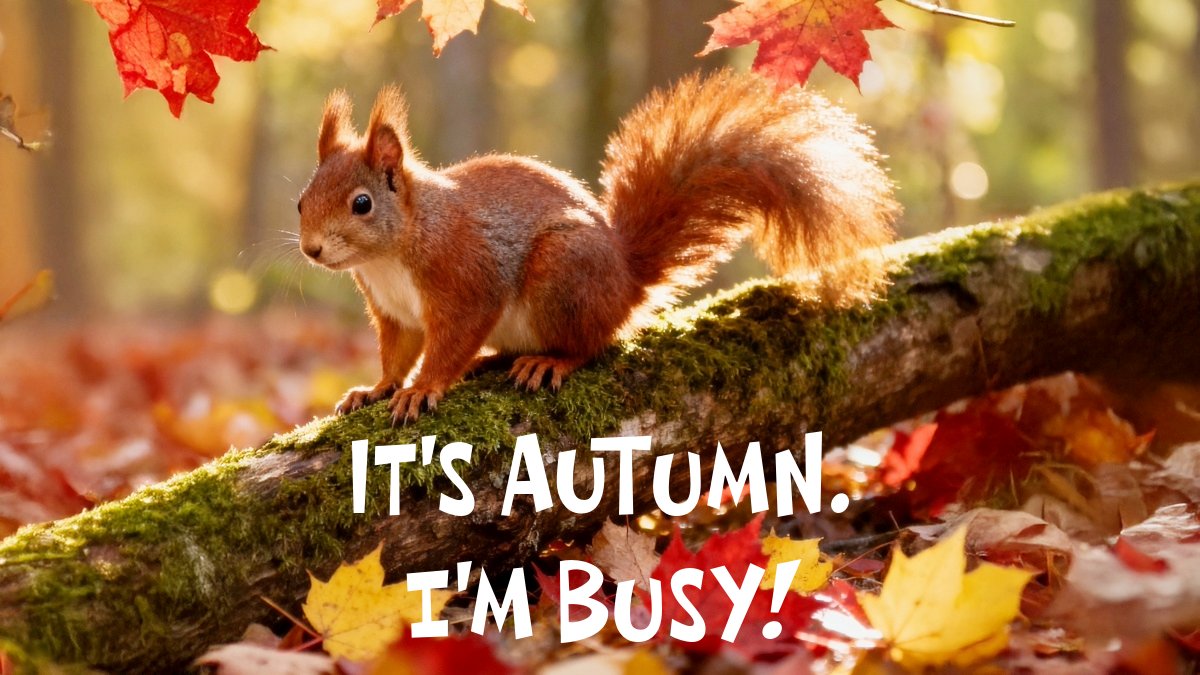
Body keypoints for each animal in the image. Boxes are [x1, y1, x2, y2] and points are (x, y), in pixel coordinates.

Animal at [298, 69, 899, 424]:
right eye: (301, 201)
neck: (390, 256)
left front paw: (424, 388)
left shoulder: (465, 277)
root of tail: (625, 281)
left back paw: (549, 362)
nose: (311, 251)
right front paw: (375, 388)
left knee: (589, 343)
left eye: (361, 204)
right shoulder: (394, 312)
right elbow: (396, 352)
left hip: (562, 274)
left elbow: (452, 340)